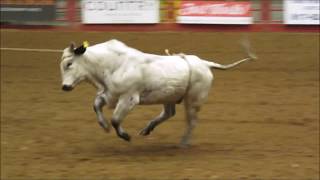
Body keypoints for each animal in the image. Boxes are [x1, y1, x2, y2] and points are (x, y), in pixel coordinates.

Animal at [59, 39, 255, 146]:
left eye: (69, 64)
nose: (65, 87)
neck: (113, 64)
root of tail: (204, 64)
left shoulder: (129, 98)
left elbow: (115, 119)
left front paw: (125, 135)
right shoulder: (110, 94)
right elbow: (96, 105)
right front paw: (104, 125)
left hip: (193, 101)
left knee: (191, 122)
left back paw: (183, 143)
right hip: (169, 97)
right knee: (169, 113)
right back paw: (148, 129)